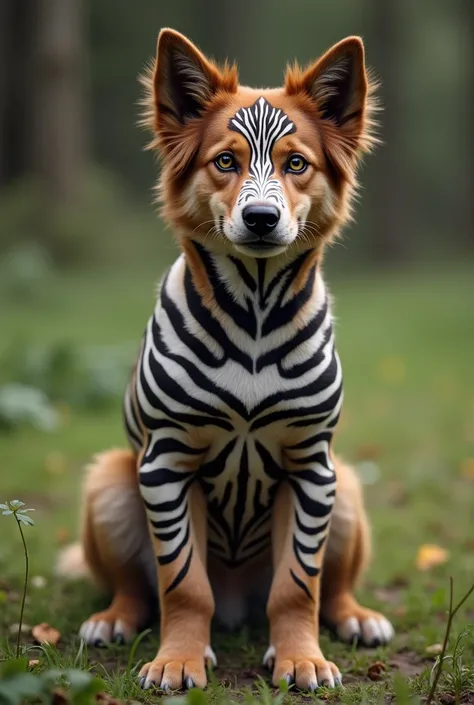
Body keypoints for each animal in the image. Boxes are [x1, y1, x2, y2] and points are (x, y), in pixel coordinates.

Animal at [58, 28, 392, 692]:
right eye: (225, 161)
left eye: (296, 163)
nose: (261, 218)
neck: (255, 315)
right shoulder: (165, 463)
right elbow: (183, 585)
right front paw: (178, 659)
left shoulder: (312, 467)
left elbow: (299, 586)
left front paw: (301, 657)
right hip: (111, 482)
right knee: (137, 588)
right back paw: (113, 620)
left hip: (345, 489)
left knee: (331, 587)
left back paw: (355, 617)